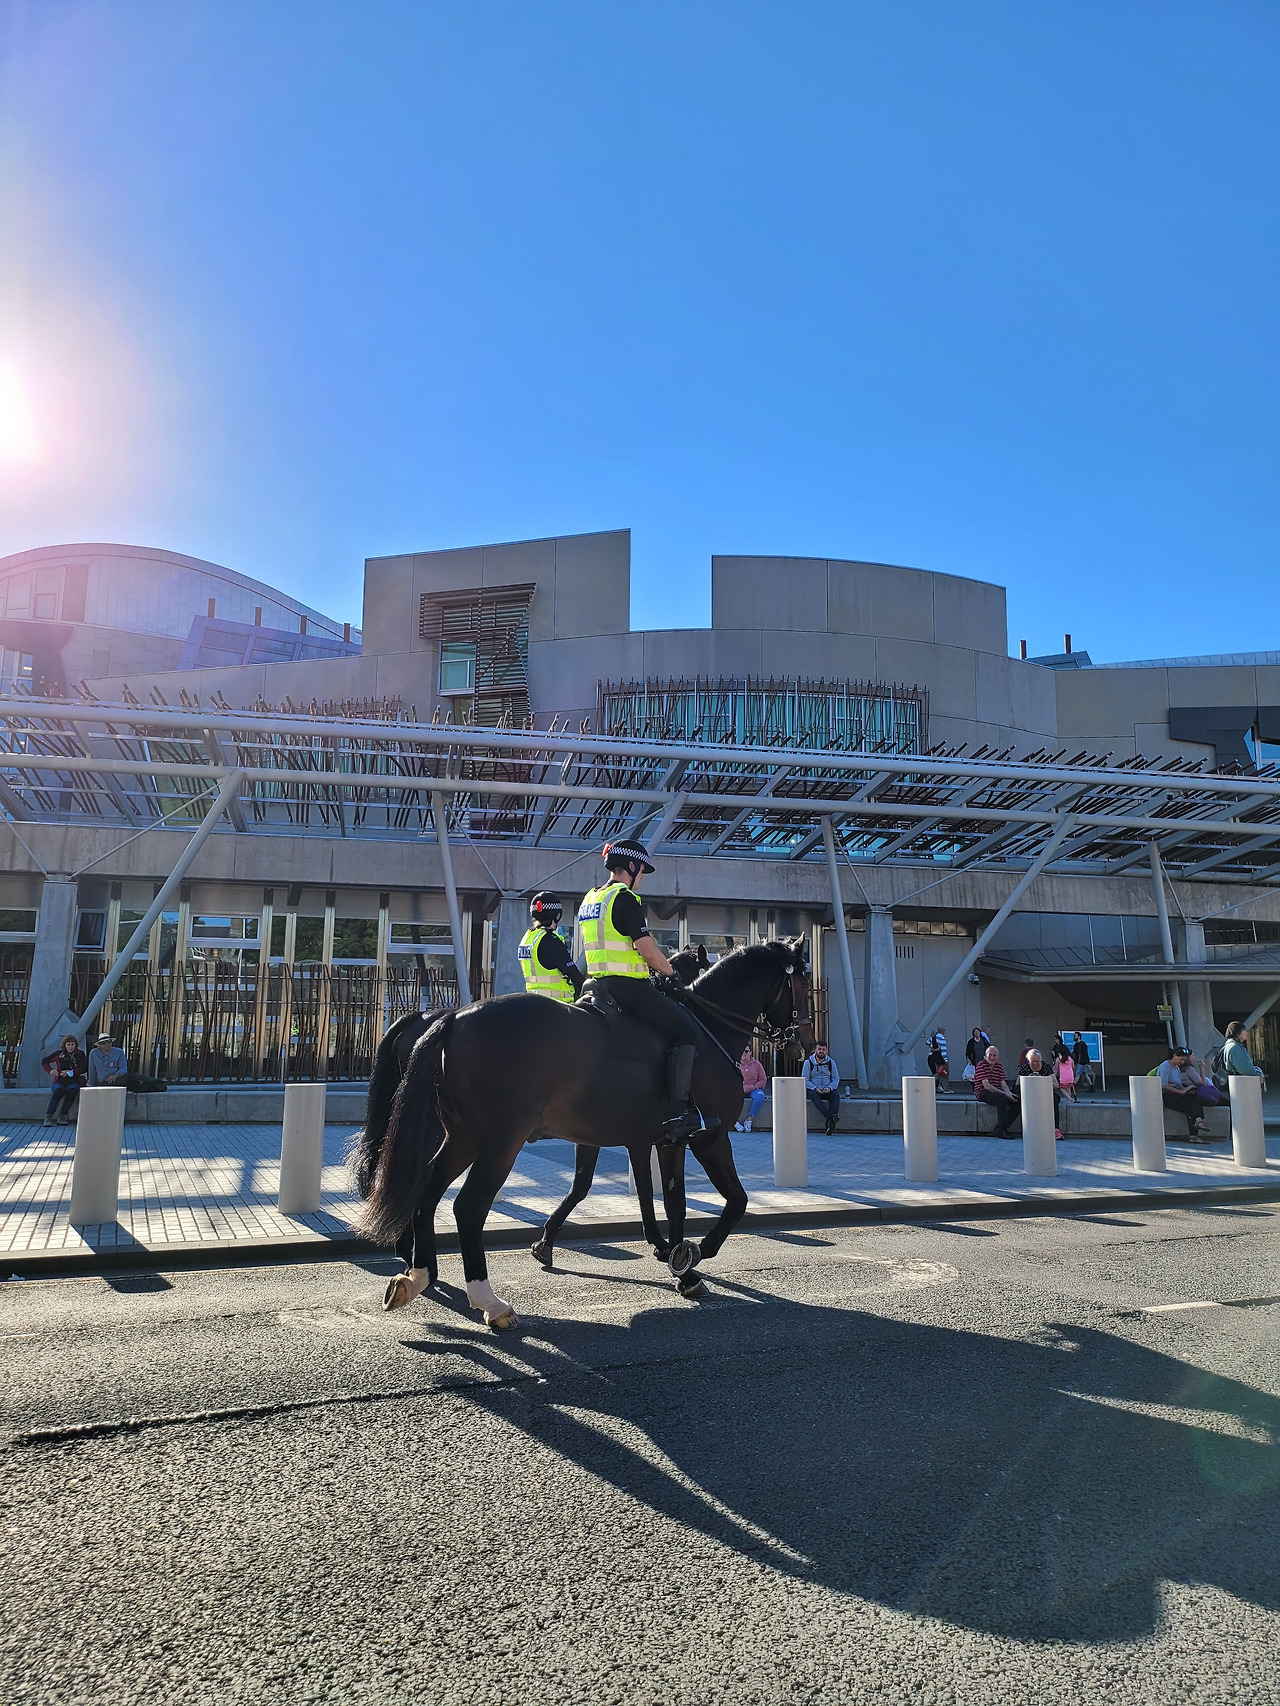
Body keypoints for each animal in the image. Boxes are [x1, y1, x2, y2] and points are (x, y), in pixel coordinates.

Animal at [357, 937, 815, 1329]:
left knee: (427, 1188)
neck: (706, 1027)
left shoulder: (657, 1140)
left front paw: (674, 1257)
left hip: (462, 1139)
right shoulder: (707, 1137)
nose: (805, 1045)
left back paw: (417, 1274)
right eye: (802, 984)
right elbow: (732, 1201)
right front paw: (692, 1255)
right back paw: (489, 1301)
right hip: (499, 1144)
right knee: (467, 1207)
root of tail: (451, 1018)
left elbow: (662, 1199)